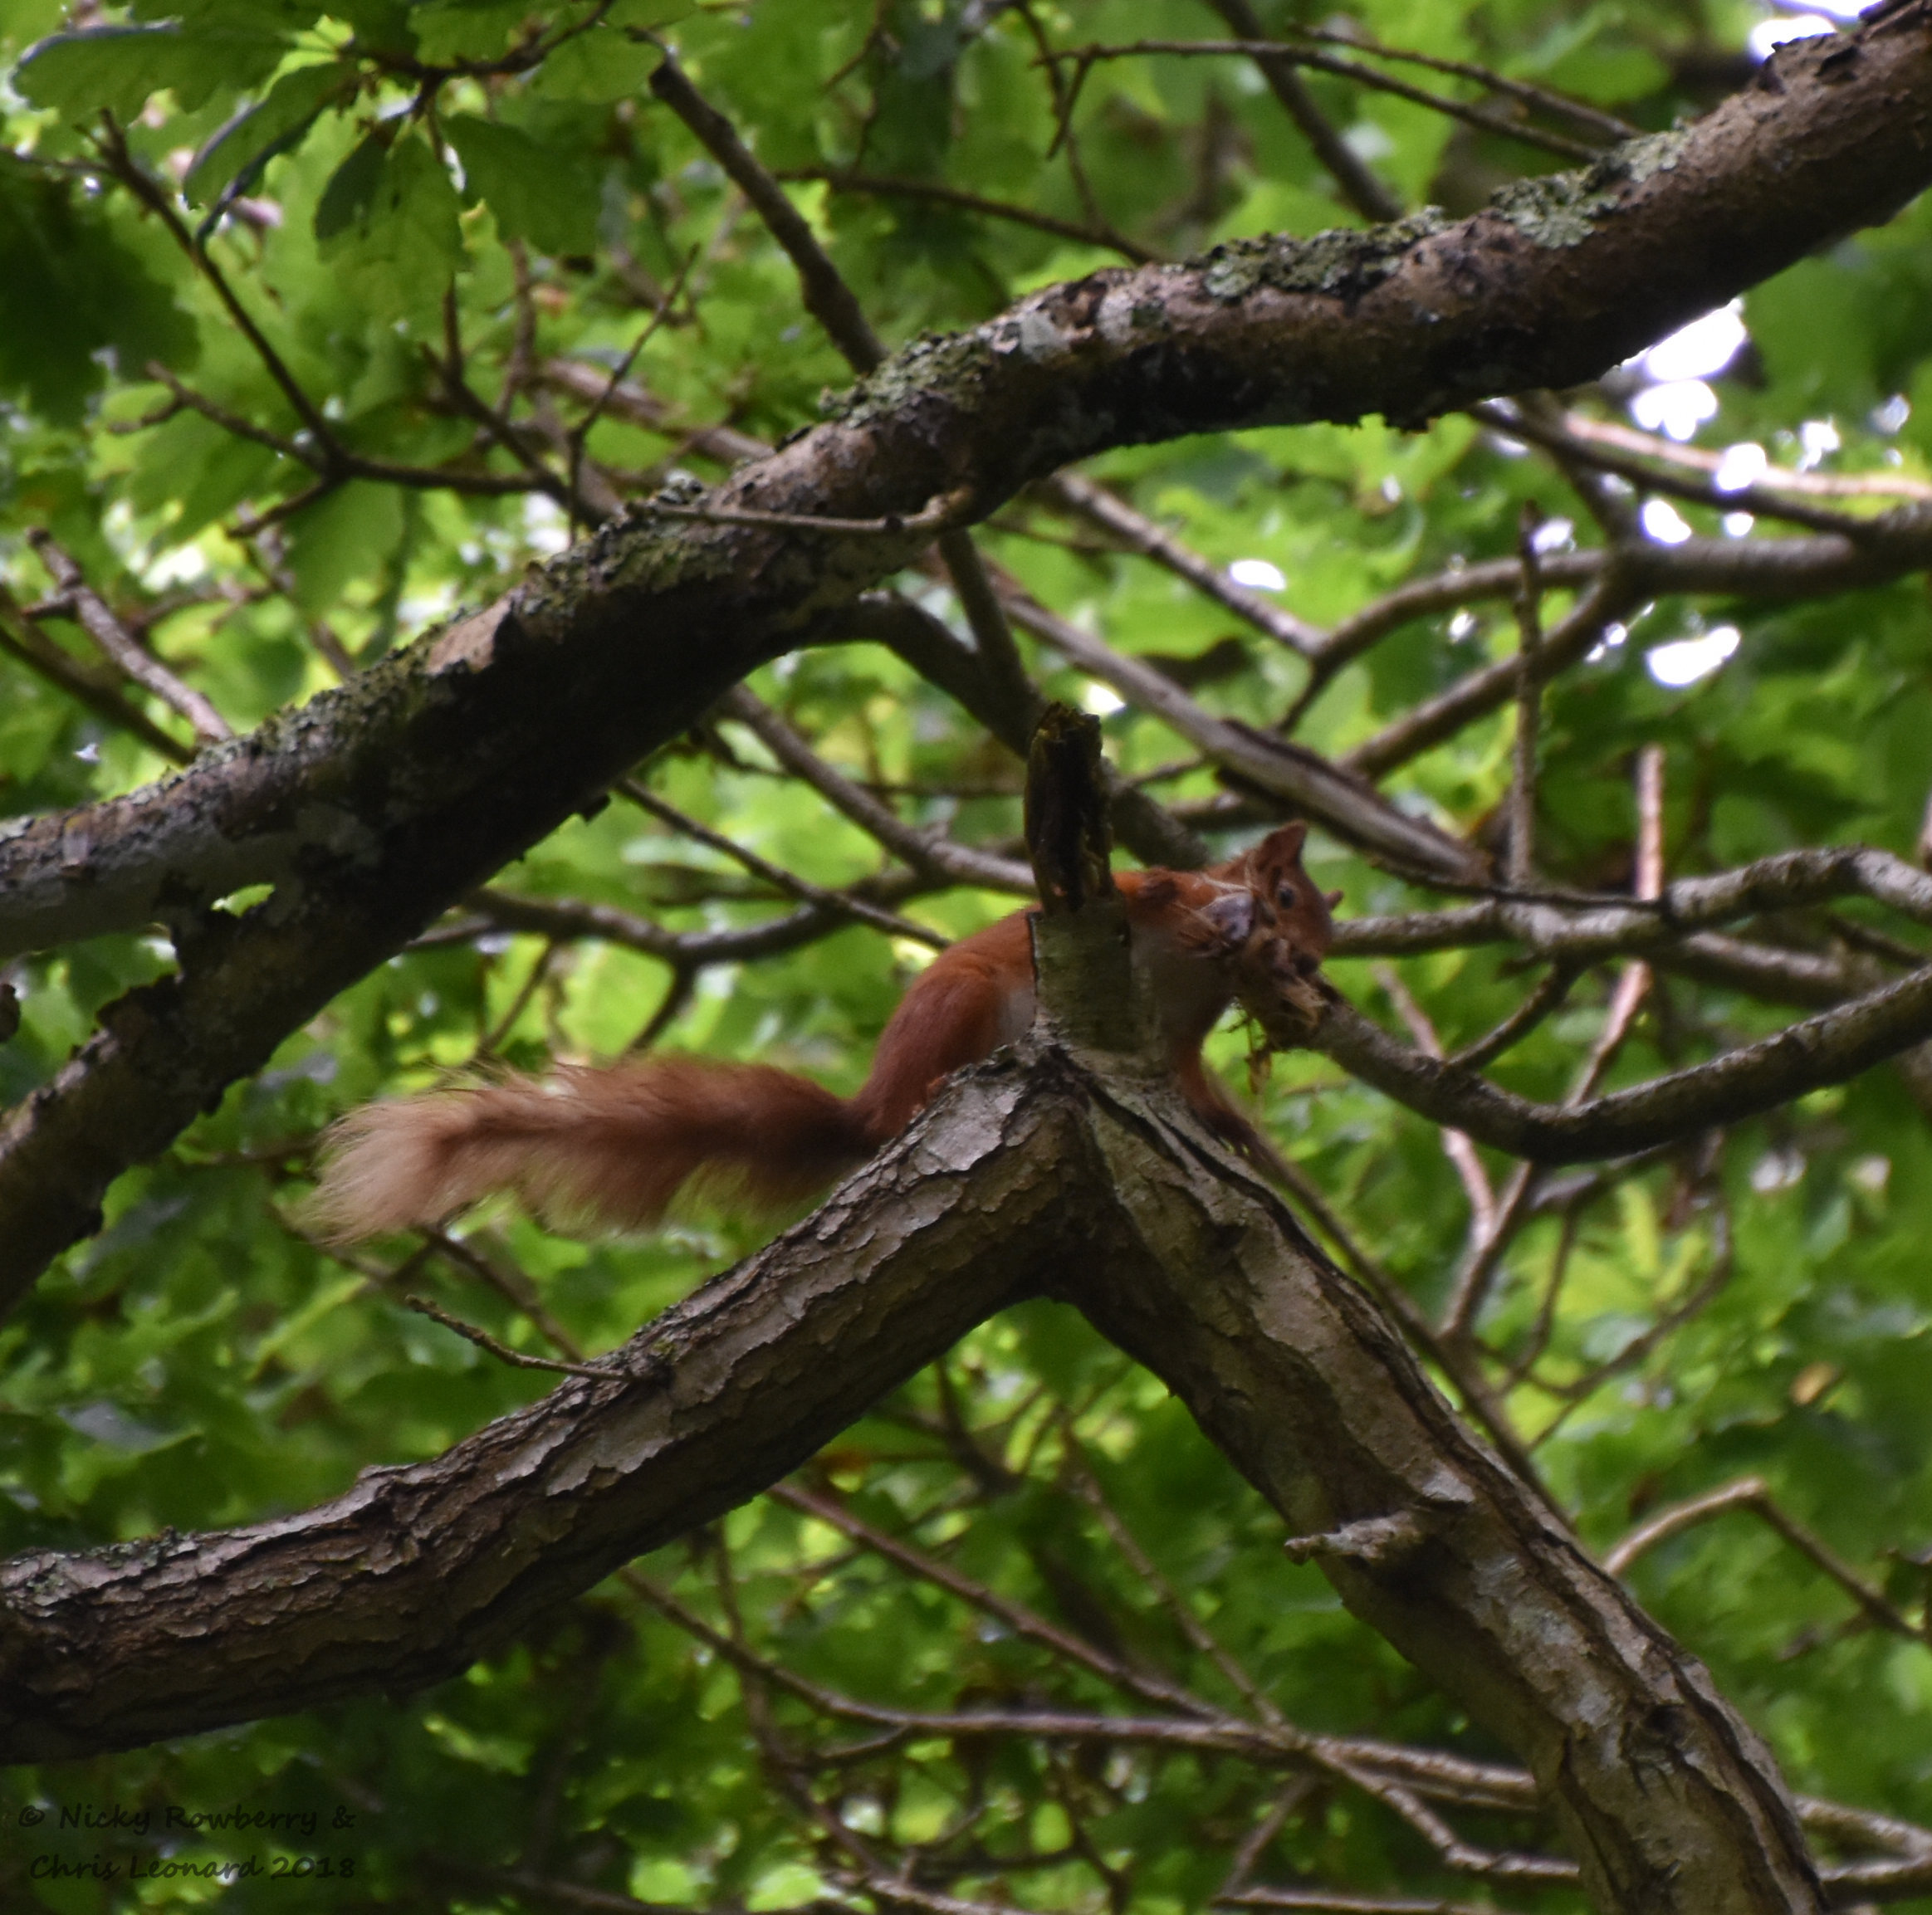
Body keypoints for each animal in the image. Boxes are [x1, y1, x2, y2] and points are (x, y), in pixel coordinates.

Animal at [304, 822, 1338, 1242]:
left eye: (1322, 939)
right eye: (1288, 895)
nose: (1303, 967)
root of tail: (866, 1105)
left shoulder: (1175, 1043)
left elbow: (1191, 1088)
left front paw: (1238, 1137)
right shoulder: (1130, 906)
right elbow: (1141, 887)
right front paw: (1192, 904)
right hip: (959, 1005)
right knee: (909, 1101)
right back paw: (924, 1098)